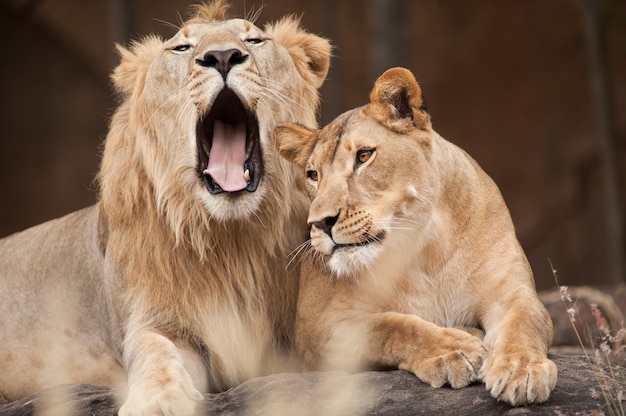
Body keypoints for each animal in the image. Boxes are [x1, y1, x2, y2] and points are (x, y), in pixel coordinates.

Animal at [0, 1, 332, 414]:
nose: (223, 56)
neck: (233, 240)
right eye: (181, 48)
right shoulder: (157, 319)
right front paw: (155, 401)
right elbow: (153, 351)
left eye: (255, 40)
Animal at [272, 67, 556, 406]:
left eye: (364, 156)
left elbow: (524, 323)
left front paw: (521, 370)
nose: (320, 223)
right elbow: (390, 325)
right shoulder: (316, 327)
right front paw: (454, 350)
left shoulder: (511, 291)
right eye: (313, 175)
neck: (425, 248)